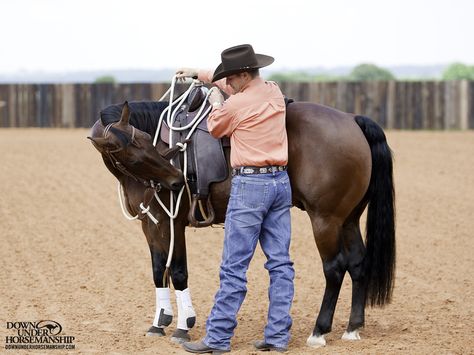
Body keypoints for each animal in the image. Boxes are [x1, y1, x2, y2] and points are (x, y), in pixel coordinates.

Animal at [87, 93, 394, 350]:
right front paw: (158, 323)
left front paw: (183, 327)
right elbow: (157, 271)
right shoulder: (151, 223)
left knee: (334, 268)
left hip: (326, 219)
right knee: (357, 263)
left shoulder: (170, 223)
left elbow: (177, 271)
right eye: (132, 154)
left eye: (144, 140)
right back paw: (353, 328)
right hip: (348, 219)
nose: (176, 180)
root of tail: (352, 120)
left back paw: (319, 331)